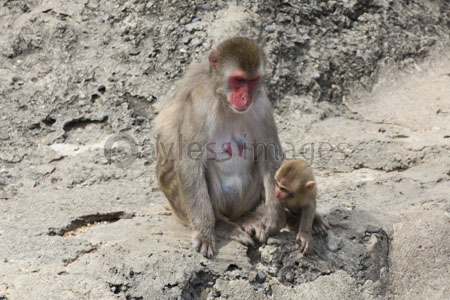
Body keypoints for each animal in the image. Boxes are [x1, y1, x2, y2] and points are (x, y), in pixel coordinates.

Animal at [154, 37, 282, 258]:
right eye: (238, 80)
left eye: (252, 81)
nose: (245, 98)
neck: (224, 102)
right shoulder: (199, 105)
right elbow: (189, 163)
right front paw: (205, 233)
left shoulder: (262, 105)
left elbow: (270, 155)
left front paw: (273, 216)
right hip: (183, 209)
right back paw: (222, 225)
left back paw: (245, 218)